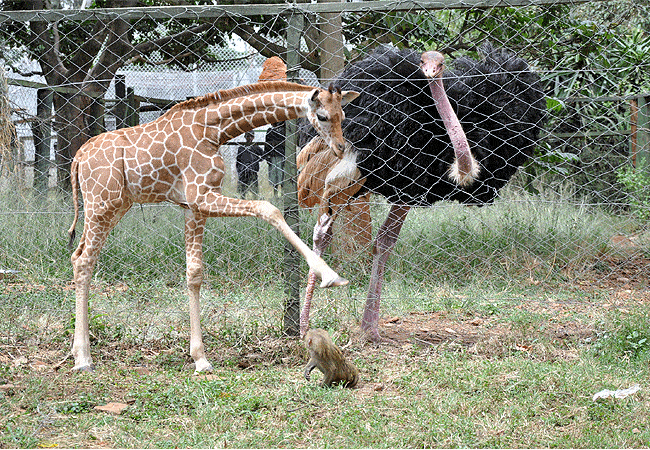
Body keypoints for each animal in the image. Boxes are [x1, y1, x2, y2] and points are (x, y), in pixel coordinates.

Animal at [67, 81, 360, 372]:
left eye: (343, 115)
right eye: (322, 116)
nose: (339, 147)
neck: (213, 130)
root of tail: (78, 157)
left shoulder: (194, 207)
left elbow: (194, 273)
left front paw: (200, 358)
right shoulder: (201, 196)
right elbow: (269, 208)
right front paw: (329, 274)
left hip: (115, 206)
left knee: (77, 255)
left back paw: (77, 352)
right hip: (101, 204)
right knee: (84, 260)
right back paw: (83, 359)